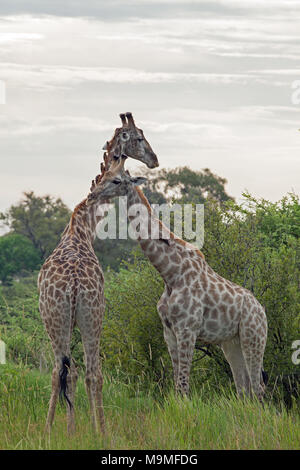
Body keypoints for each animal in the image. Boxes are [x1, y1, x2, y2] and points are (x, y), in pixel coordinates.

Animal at [38, 111, 158, 434]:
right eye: (139, 137)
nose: (154, 160)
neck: (81, 226)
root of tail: (74, 285)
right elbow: (76, 373)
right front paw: (76, 429)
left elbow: (71, 374)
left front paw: (72, 430)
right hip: (87, 314)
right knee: (87, 371)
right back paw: (96, 431)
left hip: (65, 317)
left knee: (64, 370)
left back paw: (54, 432)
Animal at [86, 158, 268, 400]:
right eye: (104, 175)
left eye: (116, 180)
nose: (92, 195)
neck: (170, 275)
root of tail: (262, 311)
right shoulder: (169, 332)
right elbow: (176, 384)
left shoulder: (187, 329)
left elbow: (183, 385)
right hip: (232, 342)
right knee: (244, 388)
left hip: (253, 337)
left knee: (258, 388)